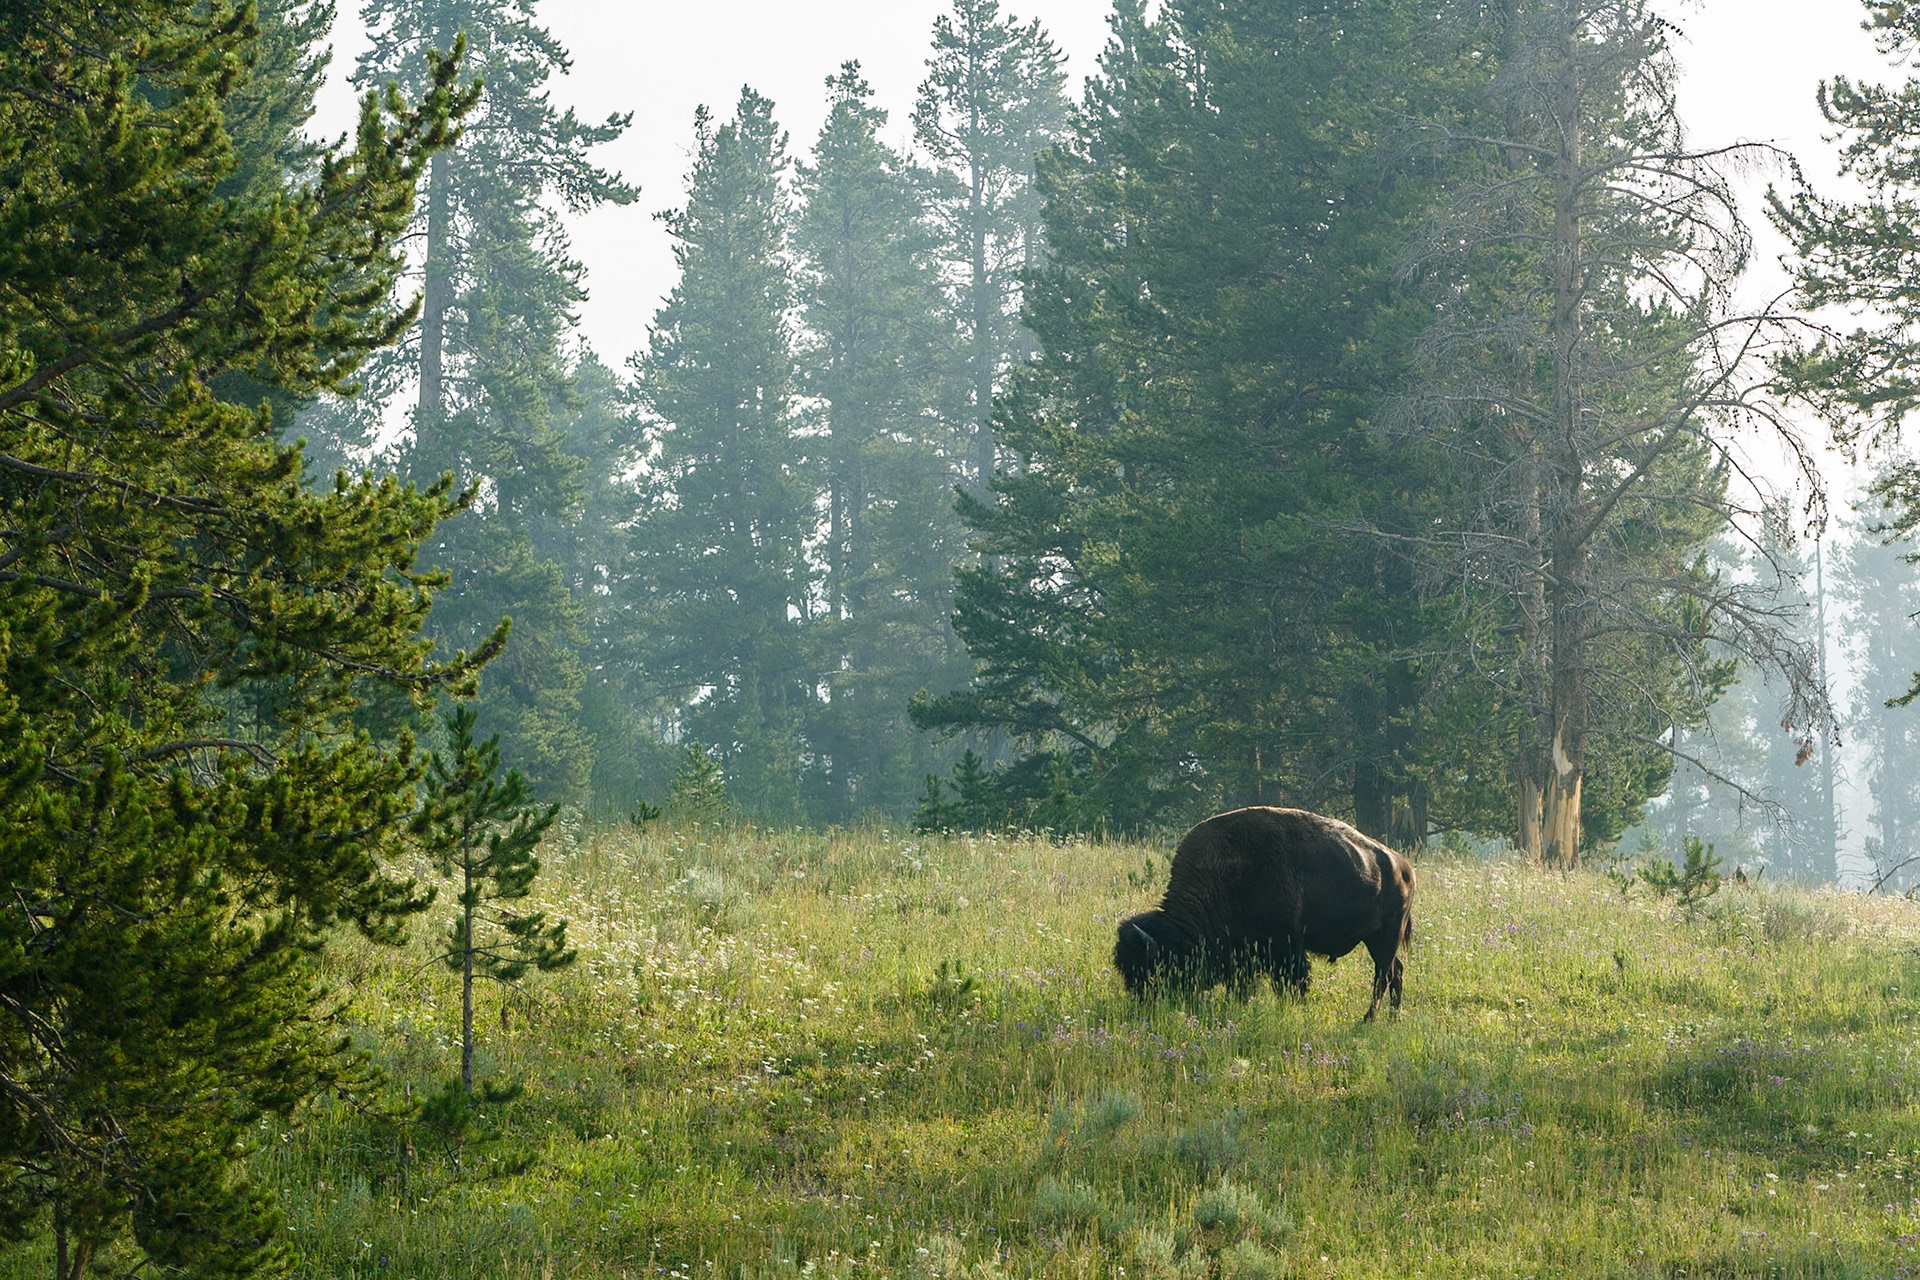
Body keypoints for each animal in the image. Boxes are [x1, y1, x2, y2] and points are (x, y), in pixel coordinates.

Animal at [1114, 806, 1415, 1020]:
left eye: (1151, 969)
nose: (1145, 1007)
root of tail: (1403, 866)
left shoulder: (1286, 947)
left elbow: (1293, 982)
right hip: (1375, 939)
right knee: (1396, 971)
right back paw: (1393, 1018)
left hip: (1387, 935)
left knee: (1383, 976)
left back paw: (1368, 1019)